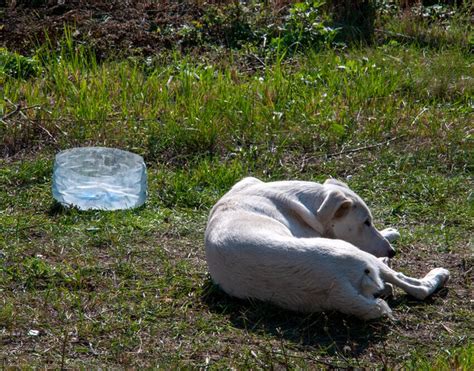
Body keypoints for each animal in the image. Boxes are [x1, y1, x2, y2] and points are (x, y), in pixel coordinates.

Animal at [204, 179, 448, 322]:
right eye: (366, 222)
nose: (392, 252)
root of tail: (335, 284)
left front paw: (389, 232)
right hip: (356, 254)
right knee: (415, 288)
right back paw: (437, 275)